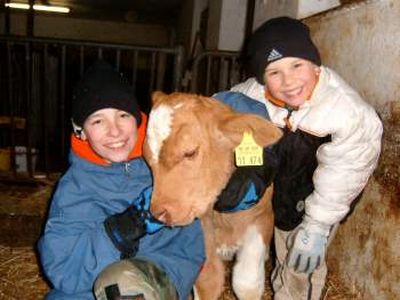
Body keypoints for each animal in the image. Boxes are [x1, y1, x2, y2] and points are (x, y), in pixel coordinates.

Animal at [144, 92, 282, 300]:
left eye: (190, 152)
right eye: (146, 159)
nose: (159, 212)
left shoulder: (261, 218)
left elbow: (247, 282)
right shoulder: (201, 229)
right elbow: (209, 280)